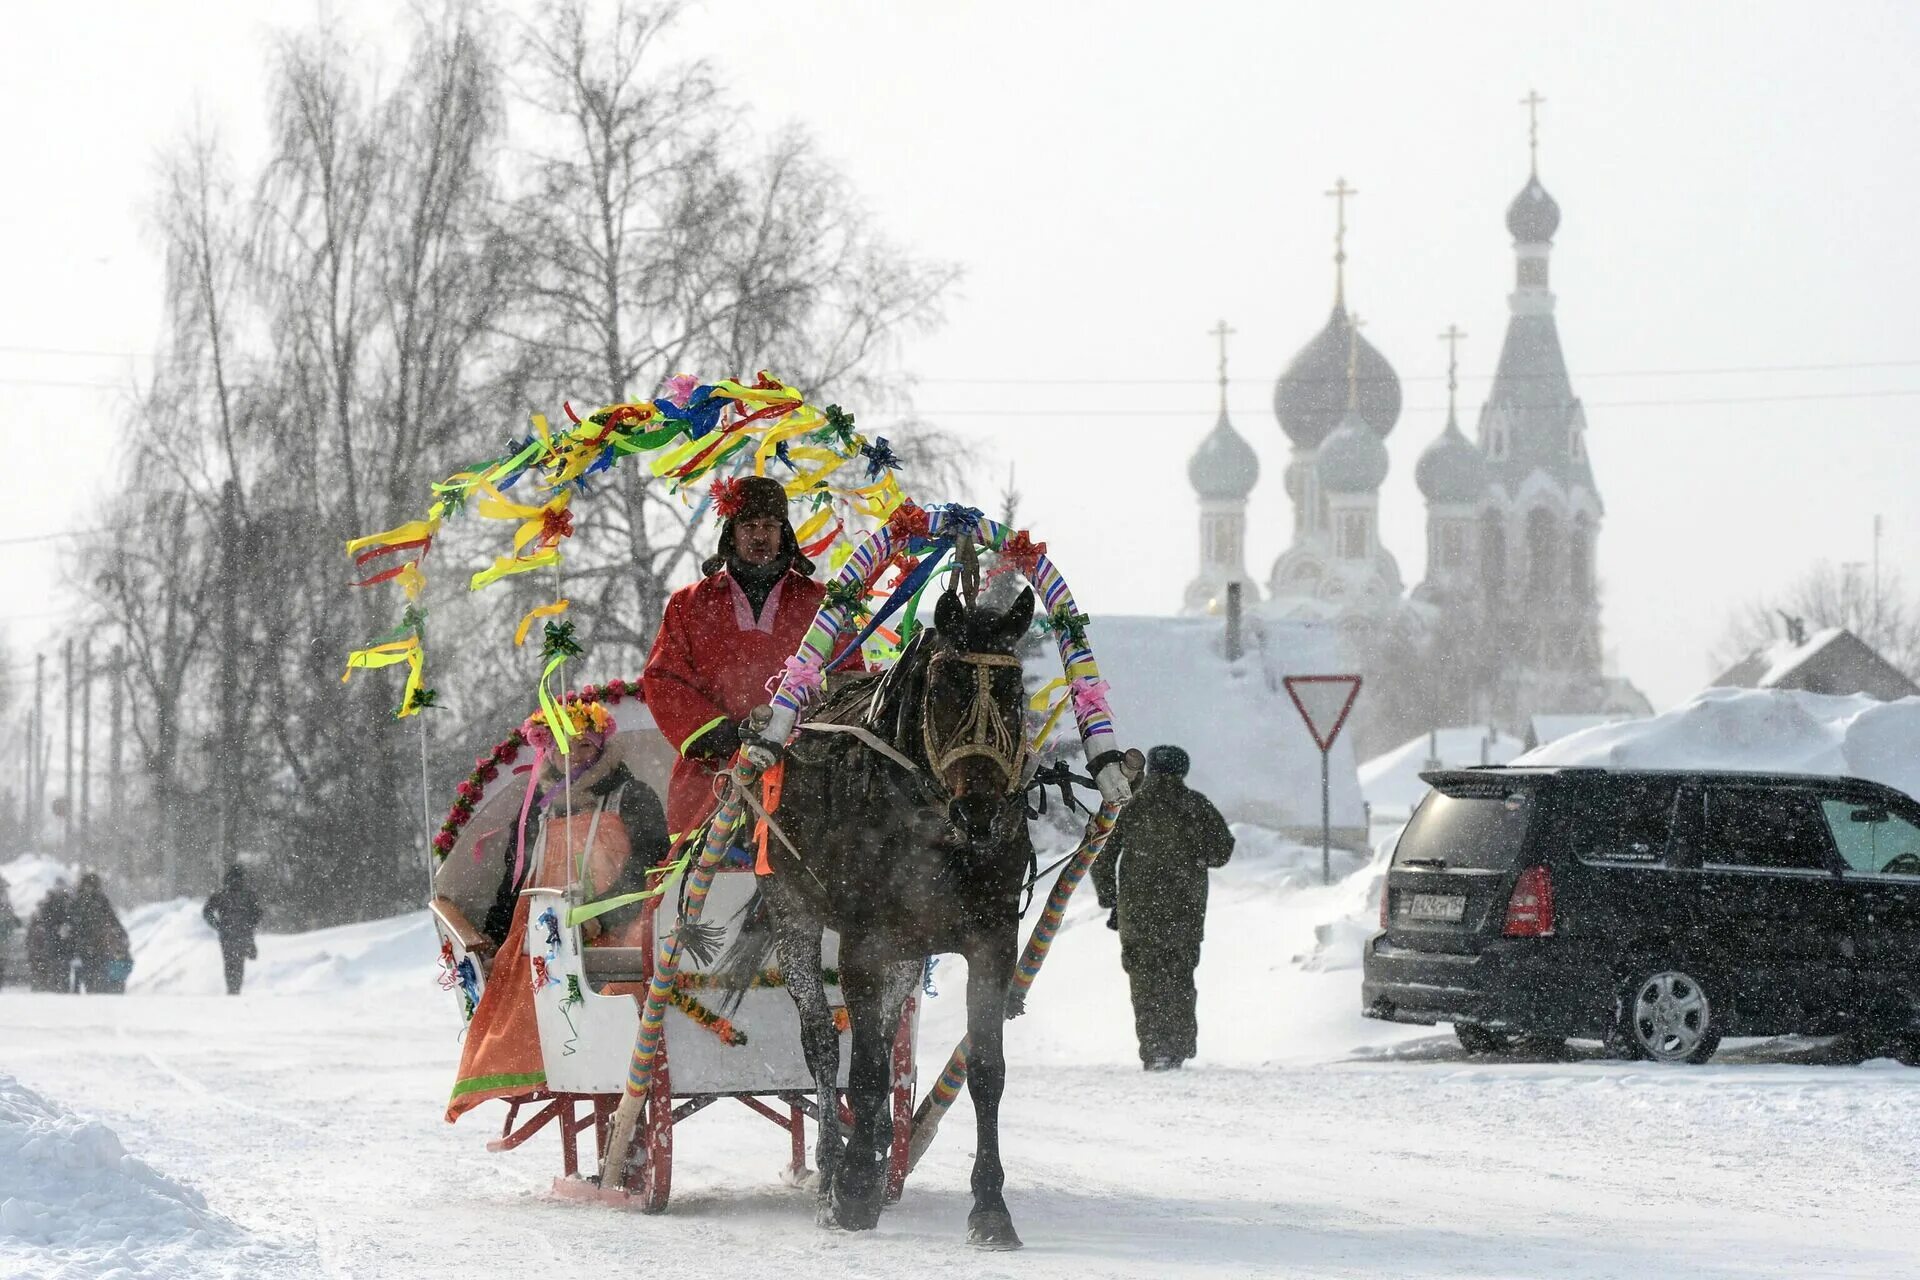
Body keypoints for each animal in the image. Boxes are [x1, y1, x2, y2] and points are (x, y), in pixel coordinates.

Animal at [721, 587, 1044, 1243]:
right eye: (945, 686)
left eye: (1013, 690)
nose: (980, 812)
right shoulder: (864, 942)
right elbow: (864, 1067)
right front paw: (849, 1193)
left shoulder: (992, 941)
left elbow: (985, 1070)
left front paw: (990, 1207)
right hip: (793, 909)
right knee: (823, 1041)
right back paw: (832, 1171)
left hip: (905, 948)